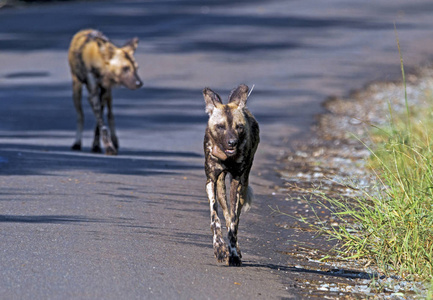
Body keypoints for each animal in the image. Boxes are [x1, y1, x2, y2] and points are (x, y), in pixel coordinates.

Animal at [203, 84, 260, 264]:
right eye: (220, 126)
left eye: (239, 127)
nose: (232, 143)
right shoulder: (211, 181)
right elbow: (215, 218)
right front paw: (220, 249)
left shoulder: (237, 182)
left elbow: (234, 223)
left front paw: (233, 253)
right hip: (221, 187)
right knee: (226, 214)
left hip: (242, 188)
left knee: (233, 218)